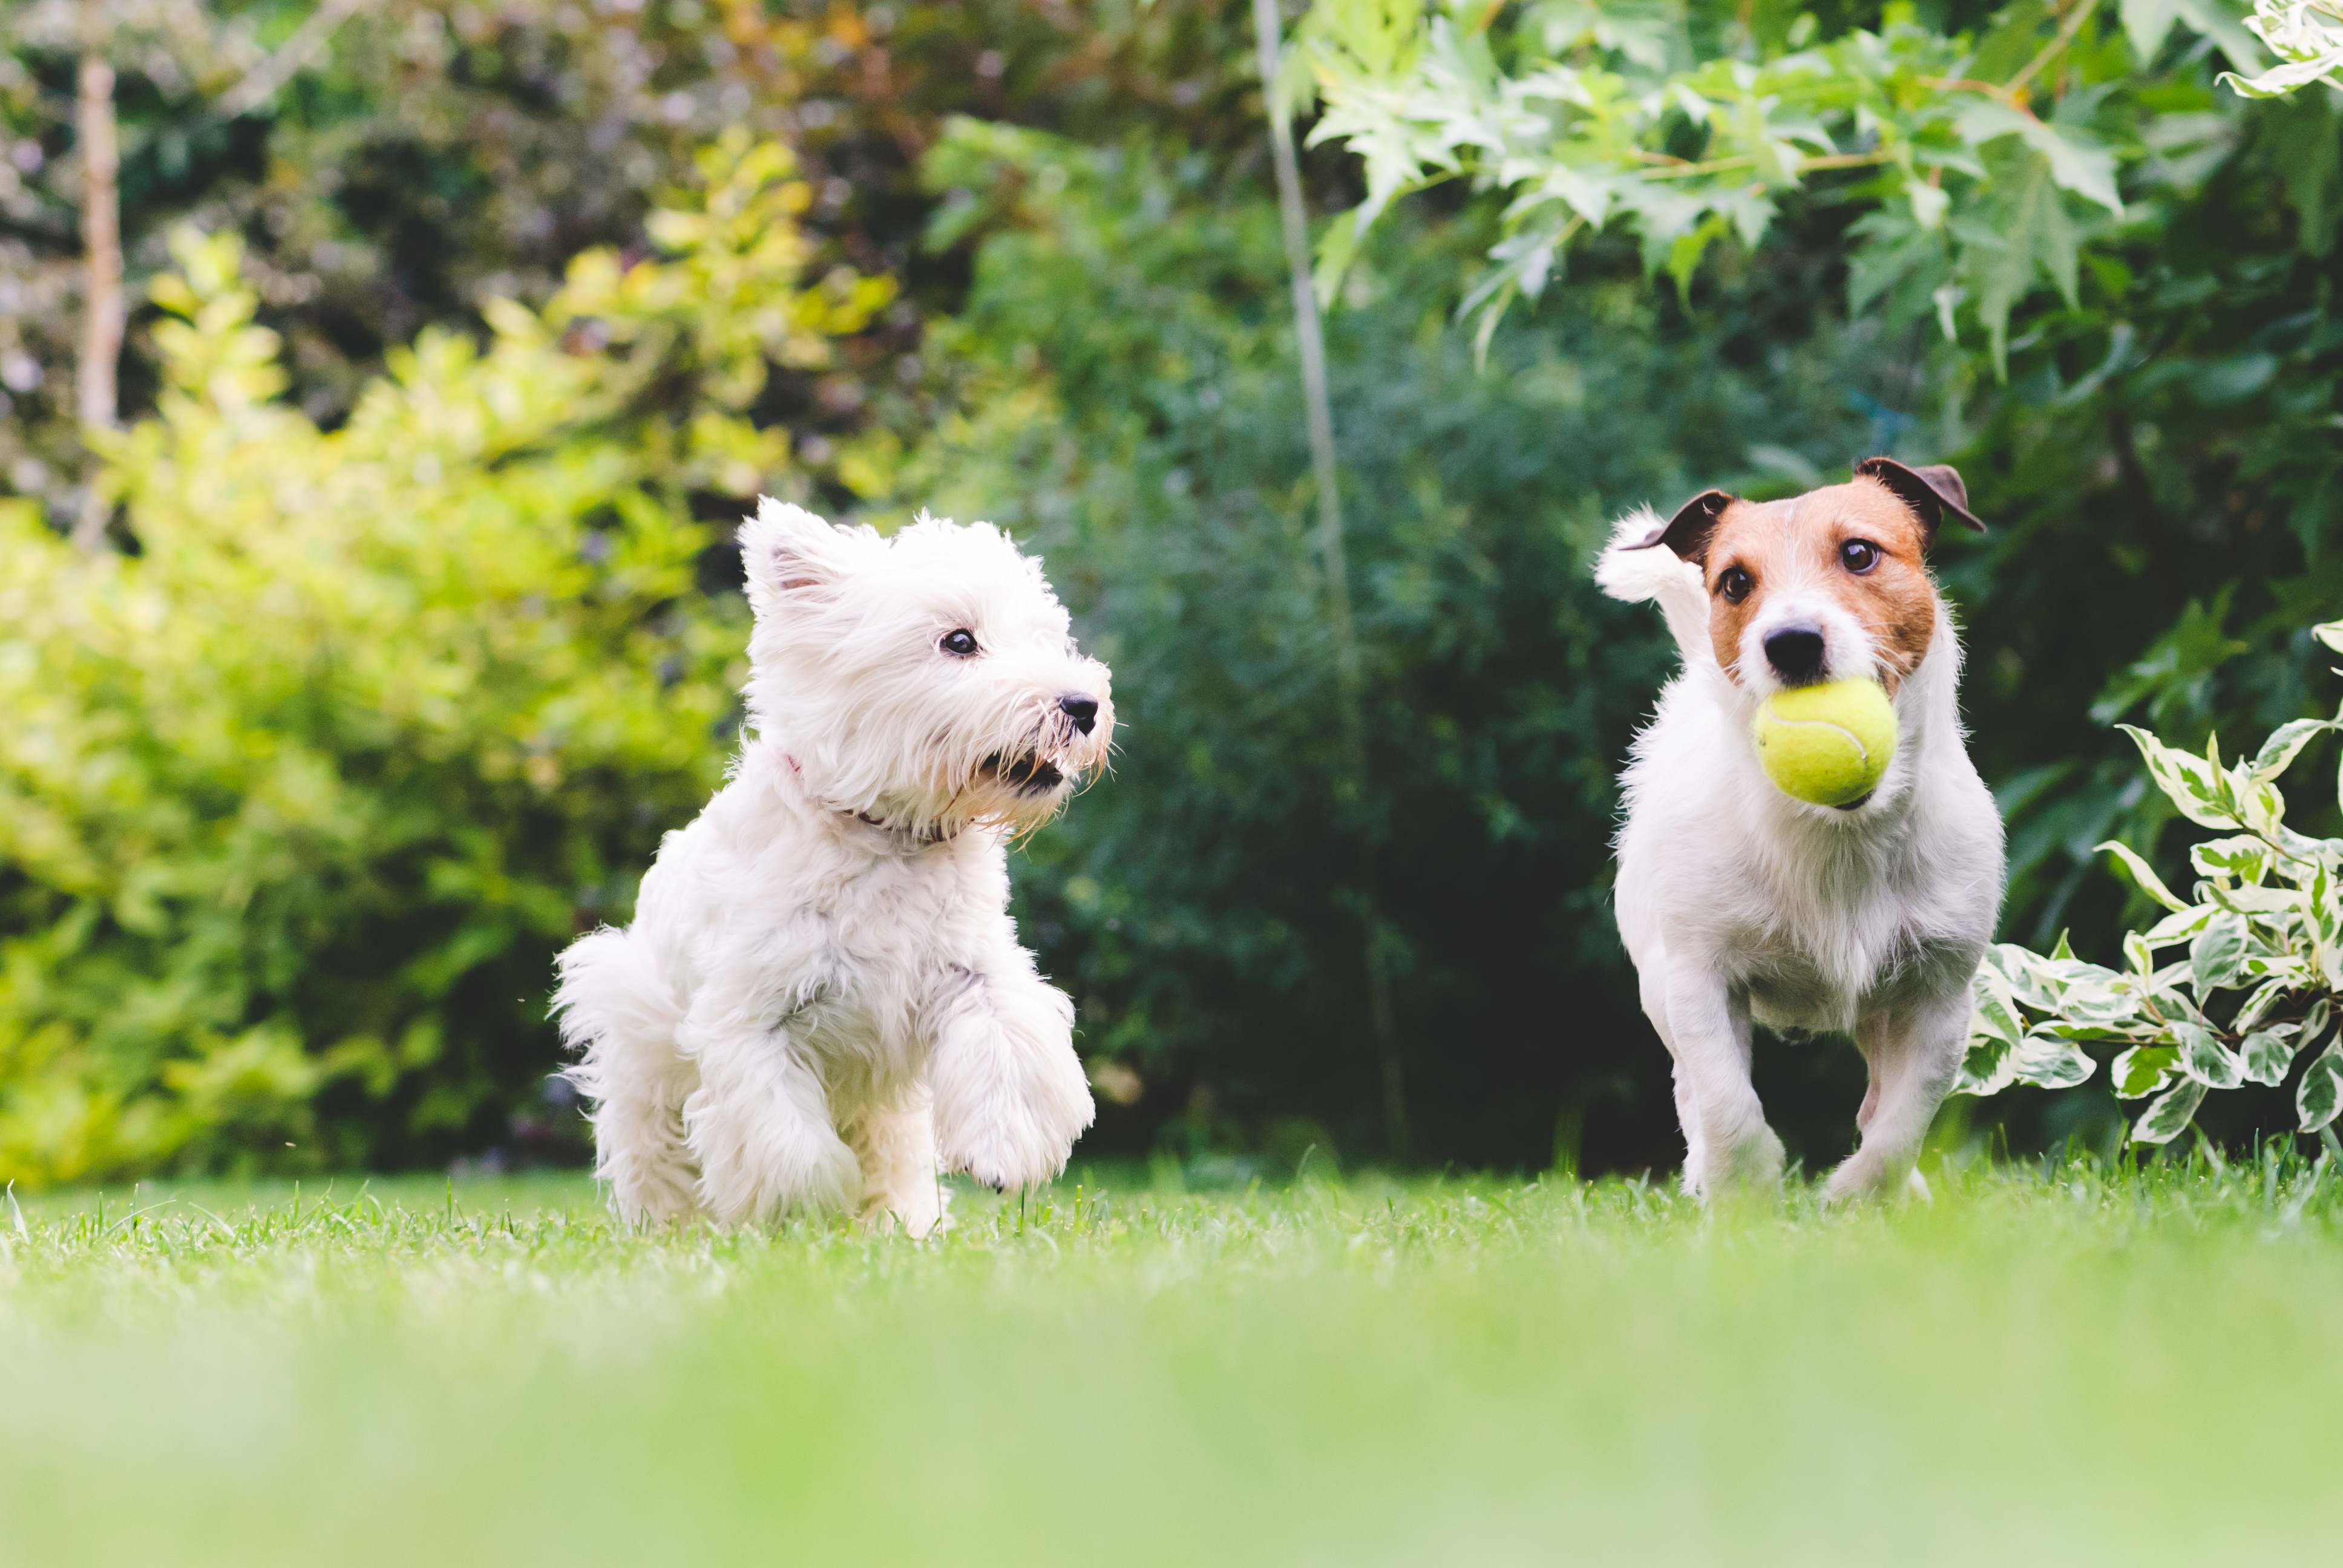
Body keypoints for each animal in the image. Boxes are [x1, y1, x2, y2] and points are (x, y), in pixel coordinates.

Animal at [562, 501, 1119, 1237]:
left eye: (1049, 638)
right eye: (959, 641)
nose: (1083, 706)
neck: (886, 837)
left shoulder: (972, 971)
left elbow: (1005, 1042)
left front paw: (1002, 1153)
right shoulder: (751, 1017)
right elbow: (789, 1145)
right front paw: (803, 1215)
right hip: (641, 1056)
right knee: (656, 1160)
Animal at [1602, 459, 2005, 1191]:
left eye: (1859, 554)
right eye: (1734, 582)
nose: (1790, 643)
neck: (1837, 832)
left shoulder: (1941, 995)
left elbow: (1905, 1118)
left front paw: (1861, 1192)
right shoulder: (1698, 980)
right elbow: (1725, 1099)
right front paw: (1745, 1183)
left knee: (1879, 1098)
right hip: (1659, 985)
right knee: (1690, 1088)